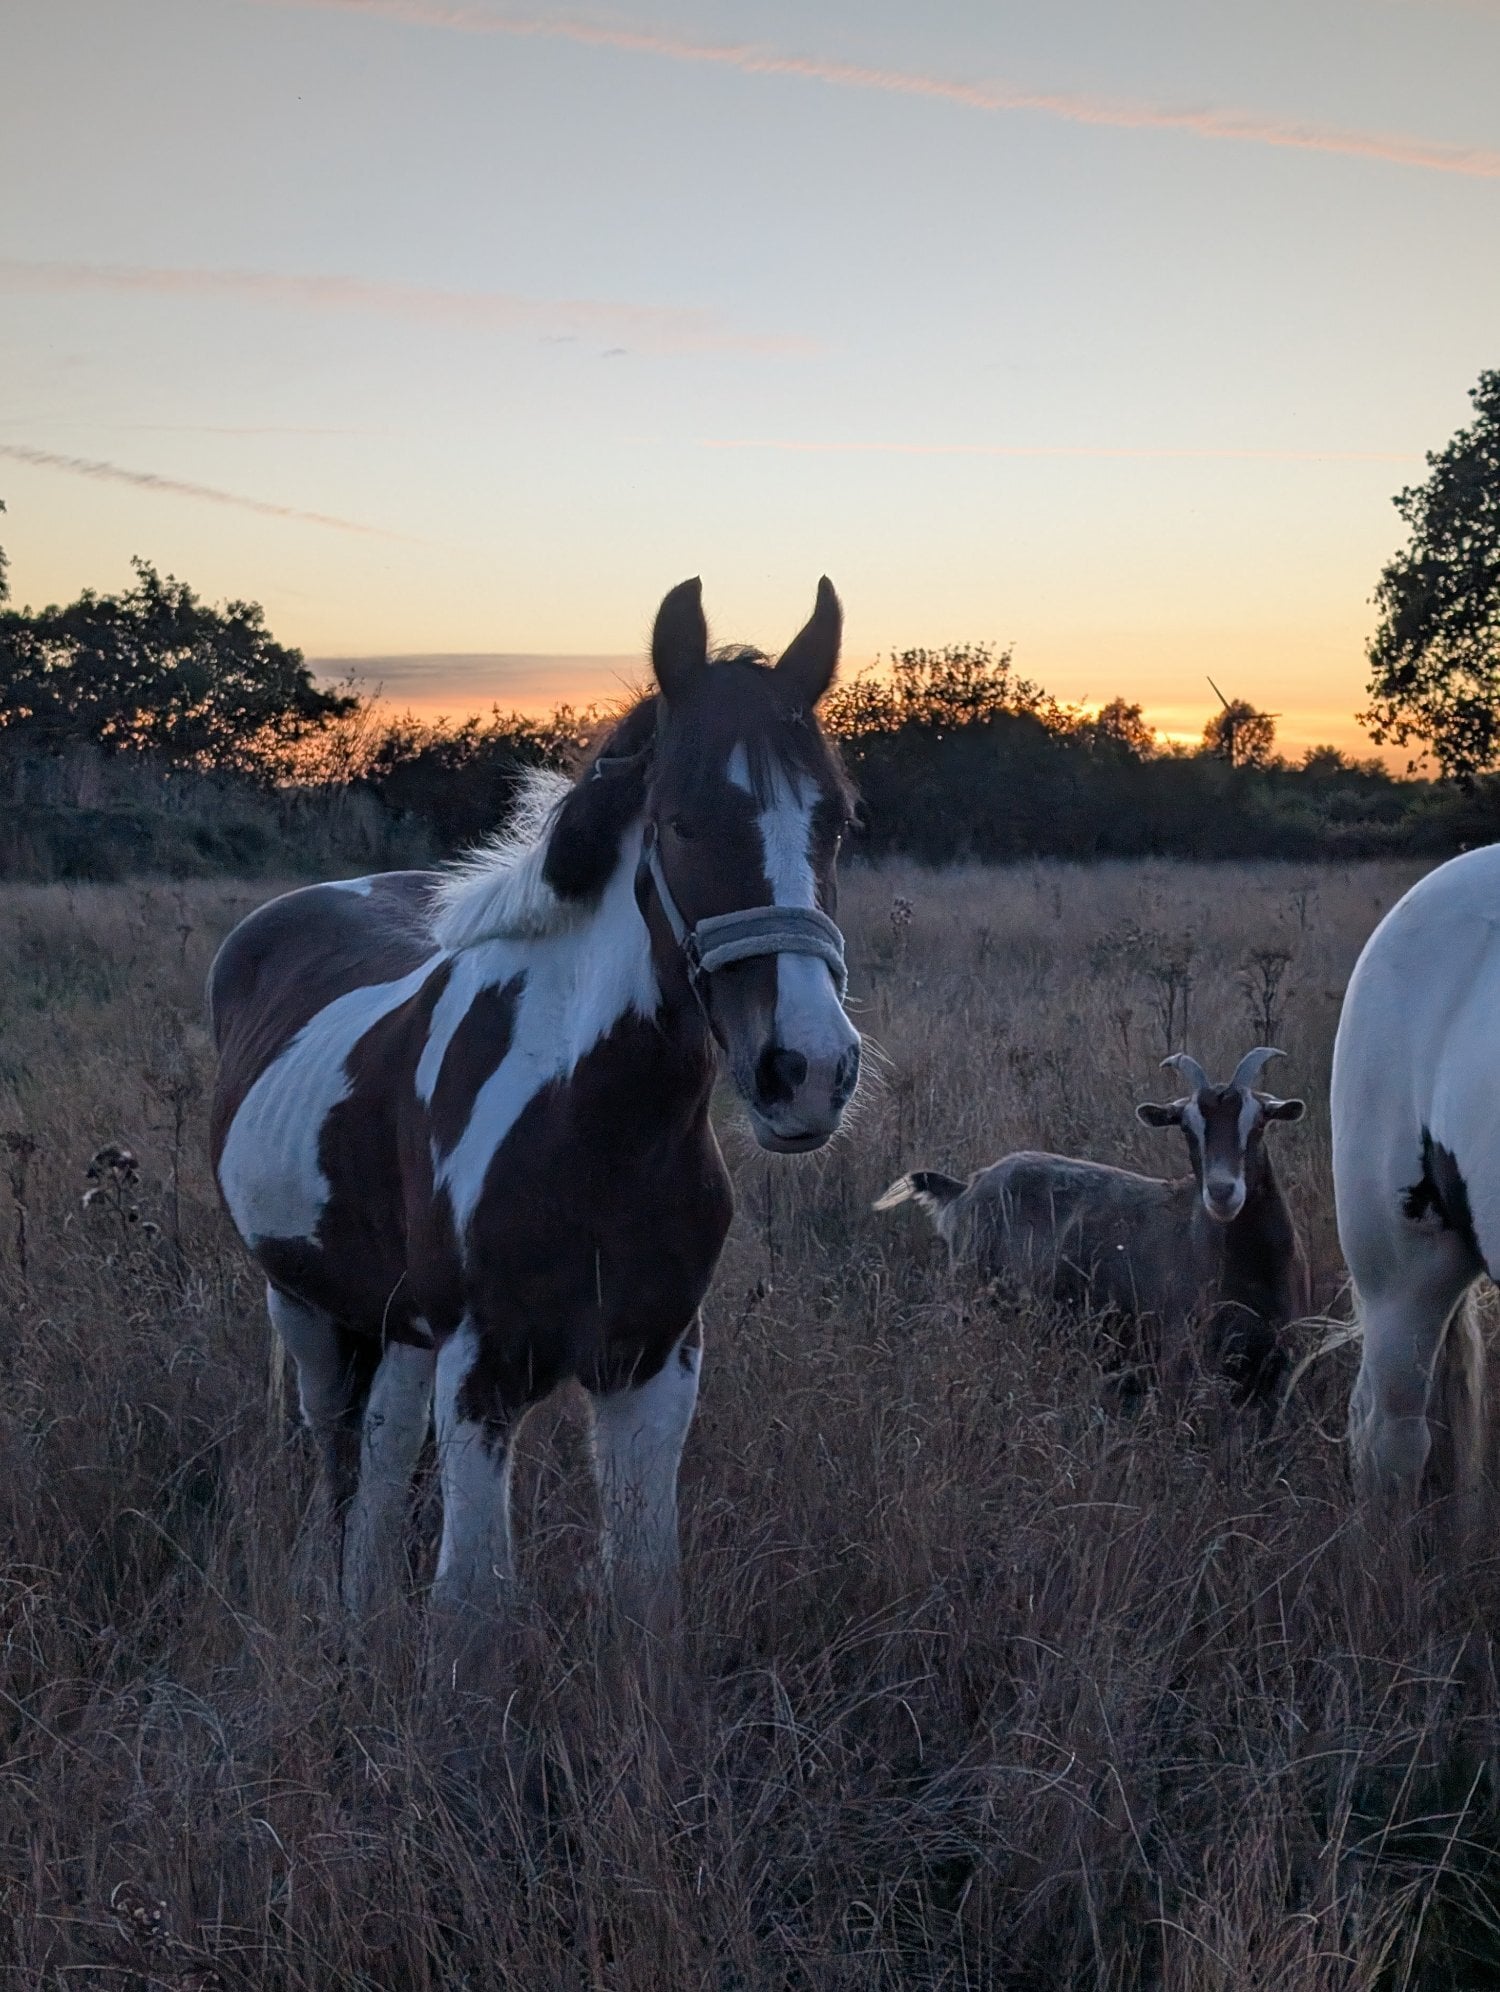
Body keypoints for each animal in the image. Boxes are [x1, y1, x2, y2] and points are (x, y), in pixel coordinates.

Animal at [208, 576, 861, 1672]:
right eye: (680, 824)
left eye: (839, 822)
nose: (808, 1072)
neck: (592, 1132)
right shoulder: (484, 1370)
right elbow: (473, 1607)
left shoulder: (654, 1363)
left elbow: (645, 1595)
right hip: (303, 1306)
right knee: (338, 1454)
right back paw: (335, 1612)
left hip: (402, 1326)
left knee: (382, 1448)